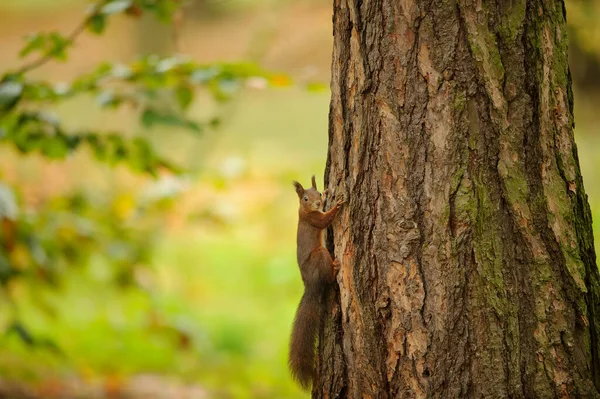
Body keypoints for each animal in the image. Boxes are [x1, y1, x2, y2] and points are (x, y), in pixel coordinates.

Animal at [288, 175, 344, 390]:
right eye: (305, 198)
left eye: (317, 193)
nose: (318, 203)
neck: (304, 210)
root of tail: (311, 285)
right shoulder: (313, 219)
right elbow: (325, 220)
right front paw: (337, 205)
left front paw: (329, 193)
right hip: (321, 254)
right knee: (328, 278)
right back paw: (335, 268)